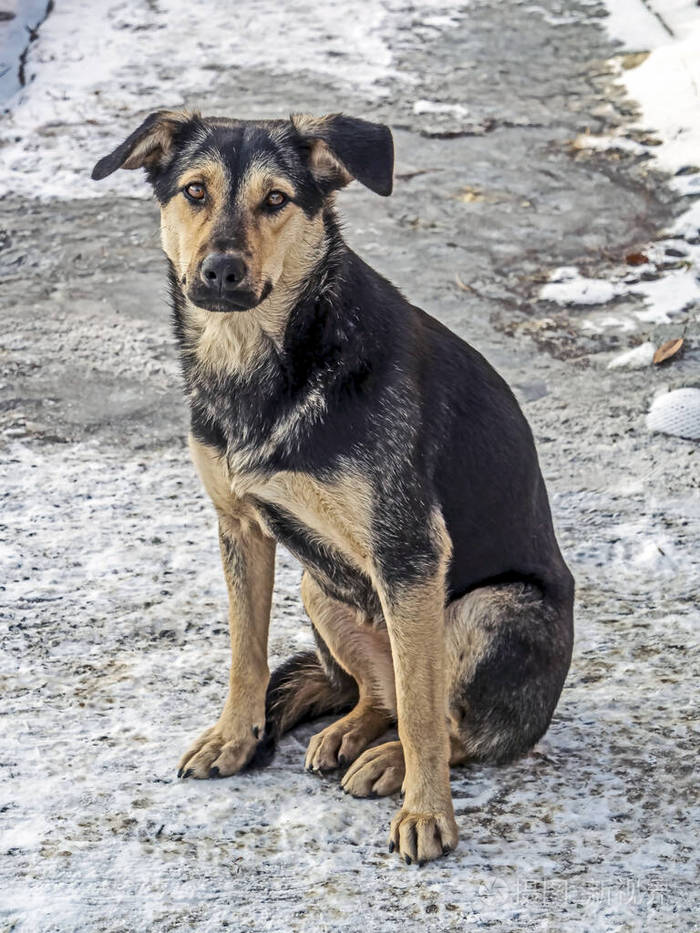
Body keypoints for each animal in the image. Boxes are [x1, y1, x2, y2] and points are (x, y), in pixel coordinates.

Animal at [93, 111, 576, 868]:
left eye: (276, 199)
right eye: (195, 191)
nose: (221, 271)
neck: (262, 357)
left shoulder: (408, 553)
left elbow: (425, 717)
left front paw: (427, 814)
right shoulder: (241, 528)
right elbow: (247, 653)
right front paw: (233, 739)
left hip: (486, 608)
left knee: (450, 721)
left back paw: (393, 763)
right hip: (320, 586)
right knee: (382, 696)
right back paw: (353, 732)